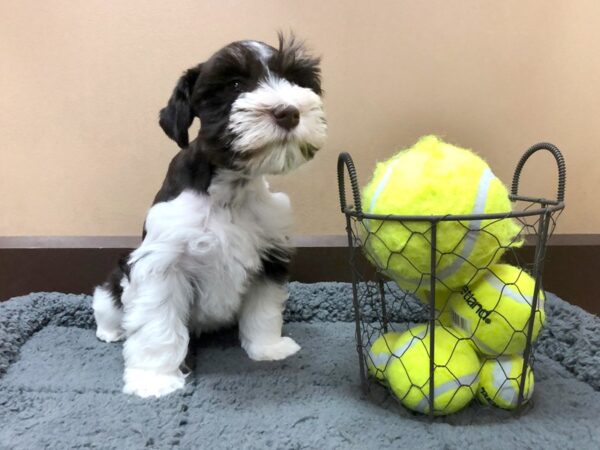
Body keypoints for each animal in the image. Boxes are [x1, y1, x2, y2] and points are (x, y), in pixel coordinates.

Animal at [93, 37, 326, 400]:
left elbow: (264, 310)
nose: (288, 112)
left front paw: (268, 348)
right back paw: (111, 331)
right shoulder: (162, 265)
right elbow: (158, 327)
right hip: (115, 283)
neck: (229, 189)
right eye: (234, 85)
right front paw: (154, 379)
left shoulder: (269, 257)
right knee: (105, 304)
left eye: (295, 79)